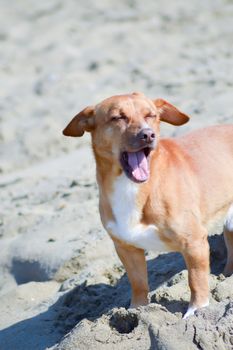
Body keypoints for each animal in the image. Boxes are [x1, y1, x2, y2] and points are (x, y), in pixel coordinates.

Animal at [62, 92, 233, 318]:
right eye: (118, 117)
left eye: (150, 115)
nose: (148, 135)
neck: (132, 187)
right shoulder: (127, 249)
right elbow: (138, 284)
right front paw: (137, 312)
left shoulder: (194, 242)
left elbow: (196, 280)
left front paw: (196, 311)